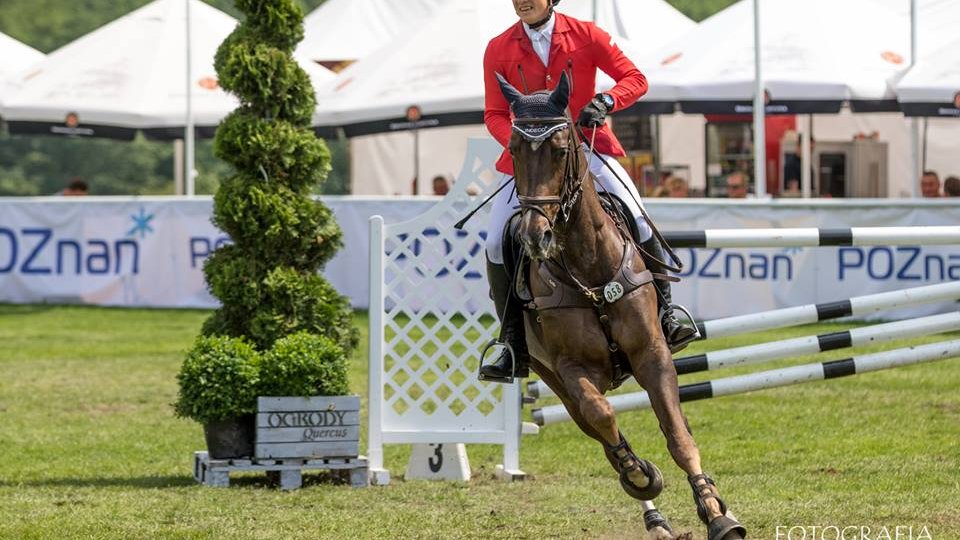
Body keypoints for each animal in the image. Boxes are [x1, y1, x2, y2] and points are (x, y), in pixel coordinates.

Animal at [496, 70, 752, 540]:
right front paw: (642, 475)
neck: (589, 263)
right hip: (551, 376)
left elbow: (678, 434)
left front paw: (716, 512)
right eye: (513, 149)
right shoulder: (572, 370)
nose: (535, 237)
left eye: (561, 150)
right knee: (599, 429)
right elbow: (603, 418)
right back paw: (652, 511)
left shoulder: (652, 354)